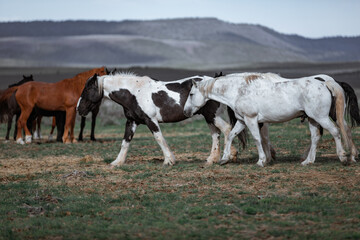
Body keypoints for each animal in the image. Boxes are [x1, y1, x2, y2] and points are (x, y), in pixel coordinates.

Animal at [76, 72, 242, 167]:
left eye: (88, 89)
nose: (79, 109)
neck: (134, 93)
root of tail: (215, 80)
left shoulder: (151, 120)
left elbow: (159, 138)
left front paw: (169, 160)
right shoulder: (132, 122)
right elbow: (125, 142)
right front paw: (117, 162)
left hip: (211, 115)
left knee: (226, 129)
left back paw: (230, 156)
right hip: (208, 117)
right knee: (216, 134)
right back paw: (211, 159)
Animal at [184, 73, 356, 167]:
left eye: (191, 94)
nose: (185, 111)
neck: (238, 91)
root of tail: (324, 82)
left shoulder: (251, 120)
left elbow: (257, 139)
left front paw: (261, 161)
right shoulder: (242, 121)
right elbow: (232, 135)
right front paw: (225, 158)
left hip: (321, 117)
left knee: (336, 131)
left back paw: (343, 157)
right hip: (313, 119)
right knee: (315, 137)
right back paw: (308, 161)